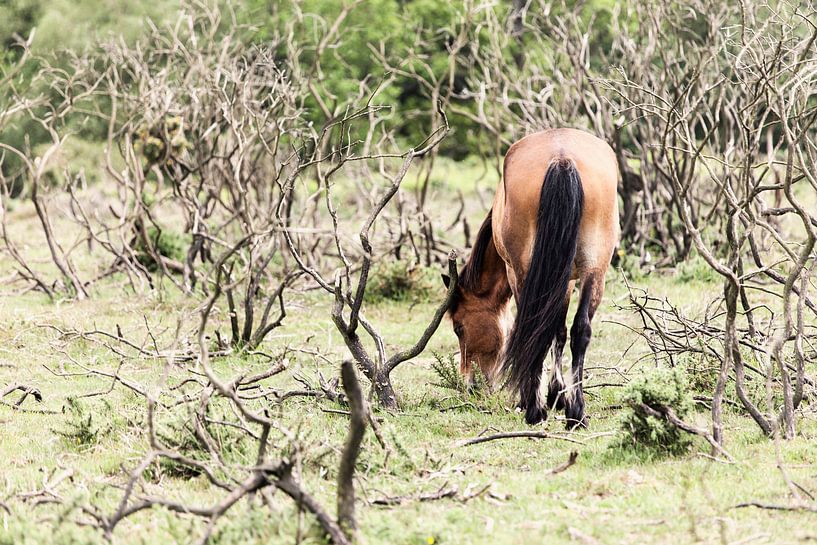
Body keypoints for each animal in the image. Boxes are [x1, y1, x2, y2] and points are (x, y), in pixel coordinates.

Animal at [443, 128, 620, 428]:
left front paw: (541, 397)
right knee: (580, 330)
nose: (470, 385)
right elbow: (560, 331)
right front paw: (558, 395)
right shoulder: (565, 280)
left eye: (458, 327)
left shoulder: (515, 274)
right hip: (595, 270)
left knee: (535, 328)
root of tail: (562, 158)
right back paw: (576, 412)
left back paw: (534, 410)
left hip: (526, 271)